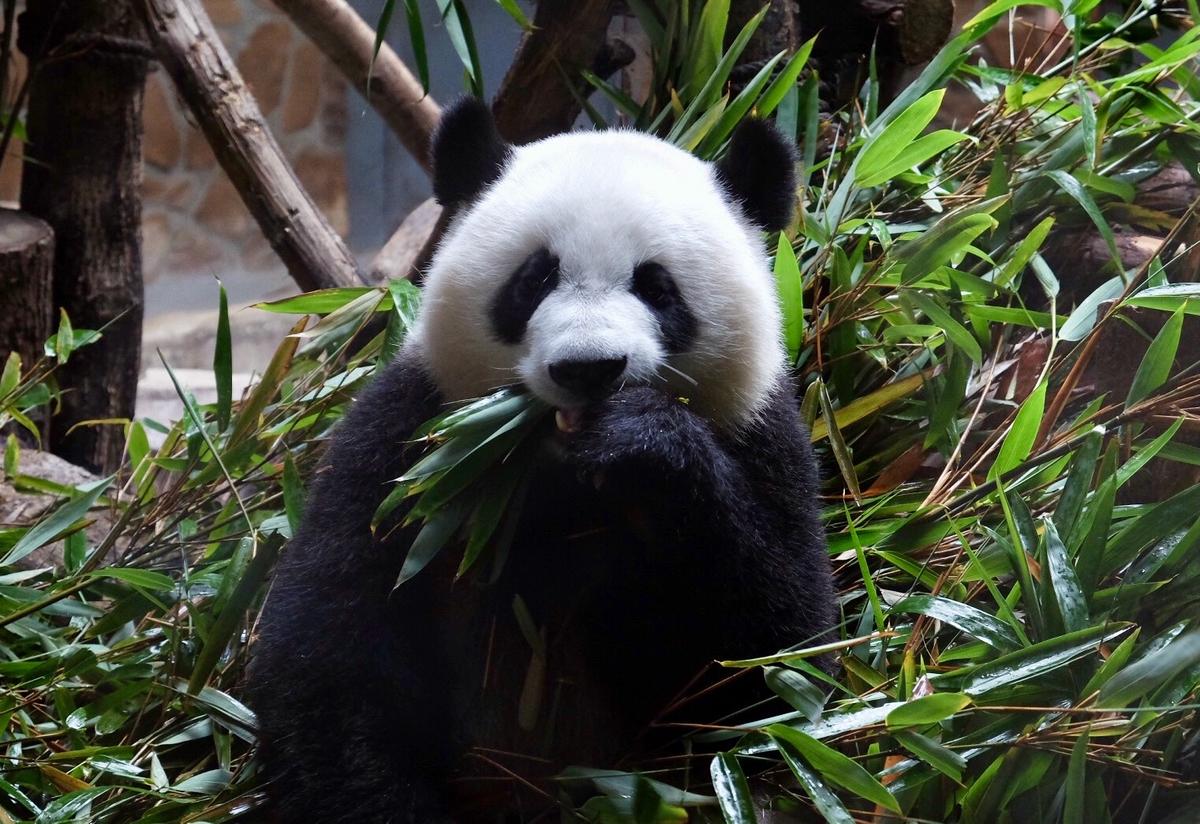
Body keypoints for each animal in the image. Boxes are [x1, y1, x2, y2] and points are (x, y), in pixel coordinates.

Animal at [247, 97, 836, 823]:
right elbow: (324, 663)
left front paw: (646, 445)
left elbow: (770, 674)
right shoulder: (404, 446)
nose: (590, 367)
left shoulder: (762, 434)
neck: (562, 470)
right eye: (533, 279)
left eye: (657, 288)